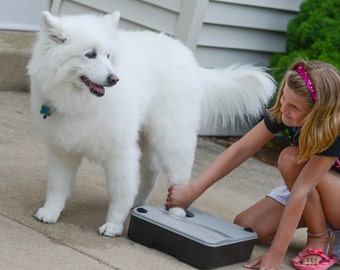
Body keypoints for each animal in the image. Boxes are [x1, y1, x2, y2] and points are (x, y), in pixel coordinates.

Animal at [27, 11, 274, 237]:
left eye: (108, 55)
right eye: (90, 55)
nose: (114, 79)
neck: (80, 100)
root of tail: (190, 60)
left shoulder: (121, 154)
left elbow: (119, 192)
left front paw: (113, 225)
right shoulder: (62, 150)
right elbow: (57, 186)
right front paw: (50, 212)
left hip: (172, 138)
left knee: (178, 178)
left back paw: (175, 214)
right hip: (147, 138)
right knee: (151, 172)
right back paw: (138, 204)